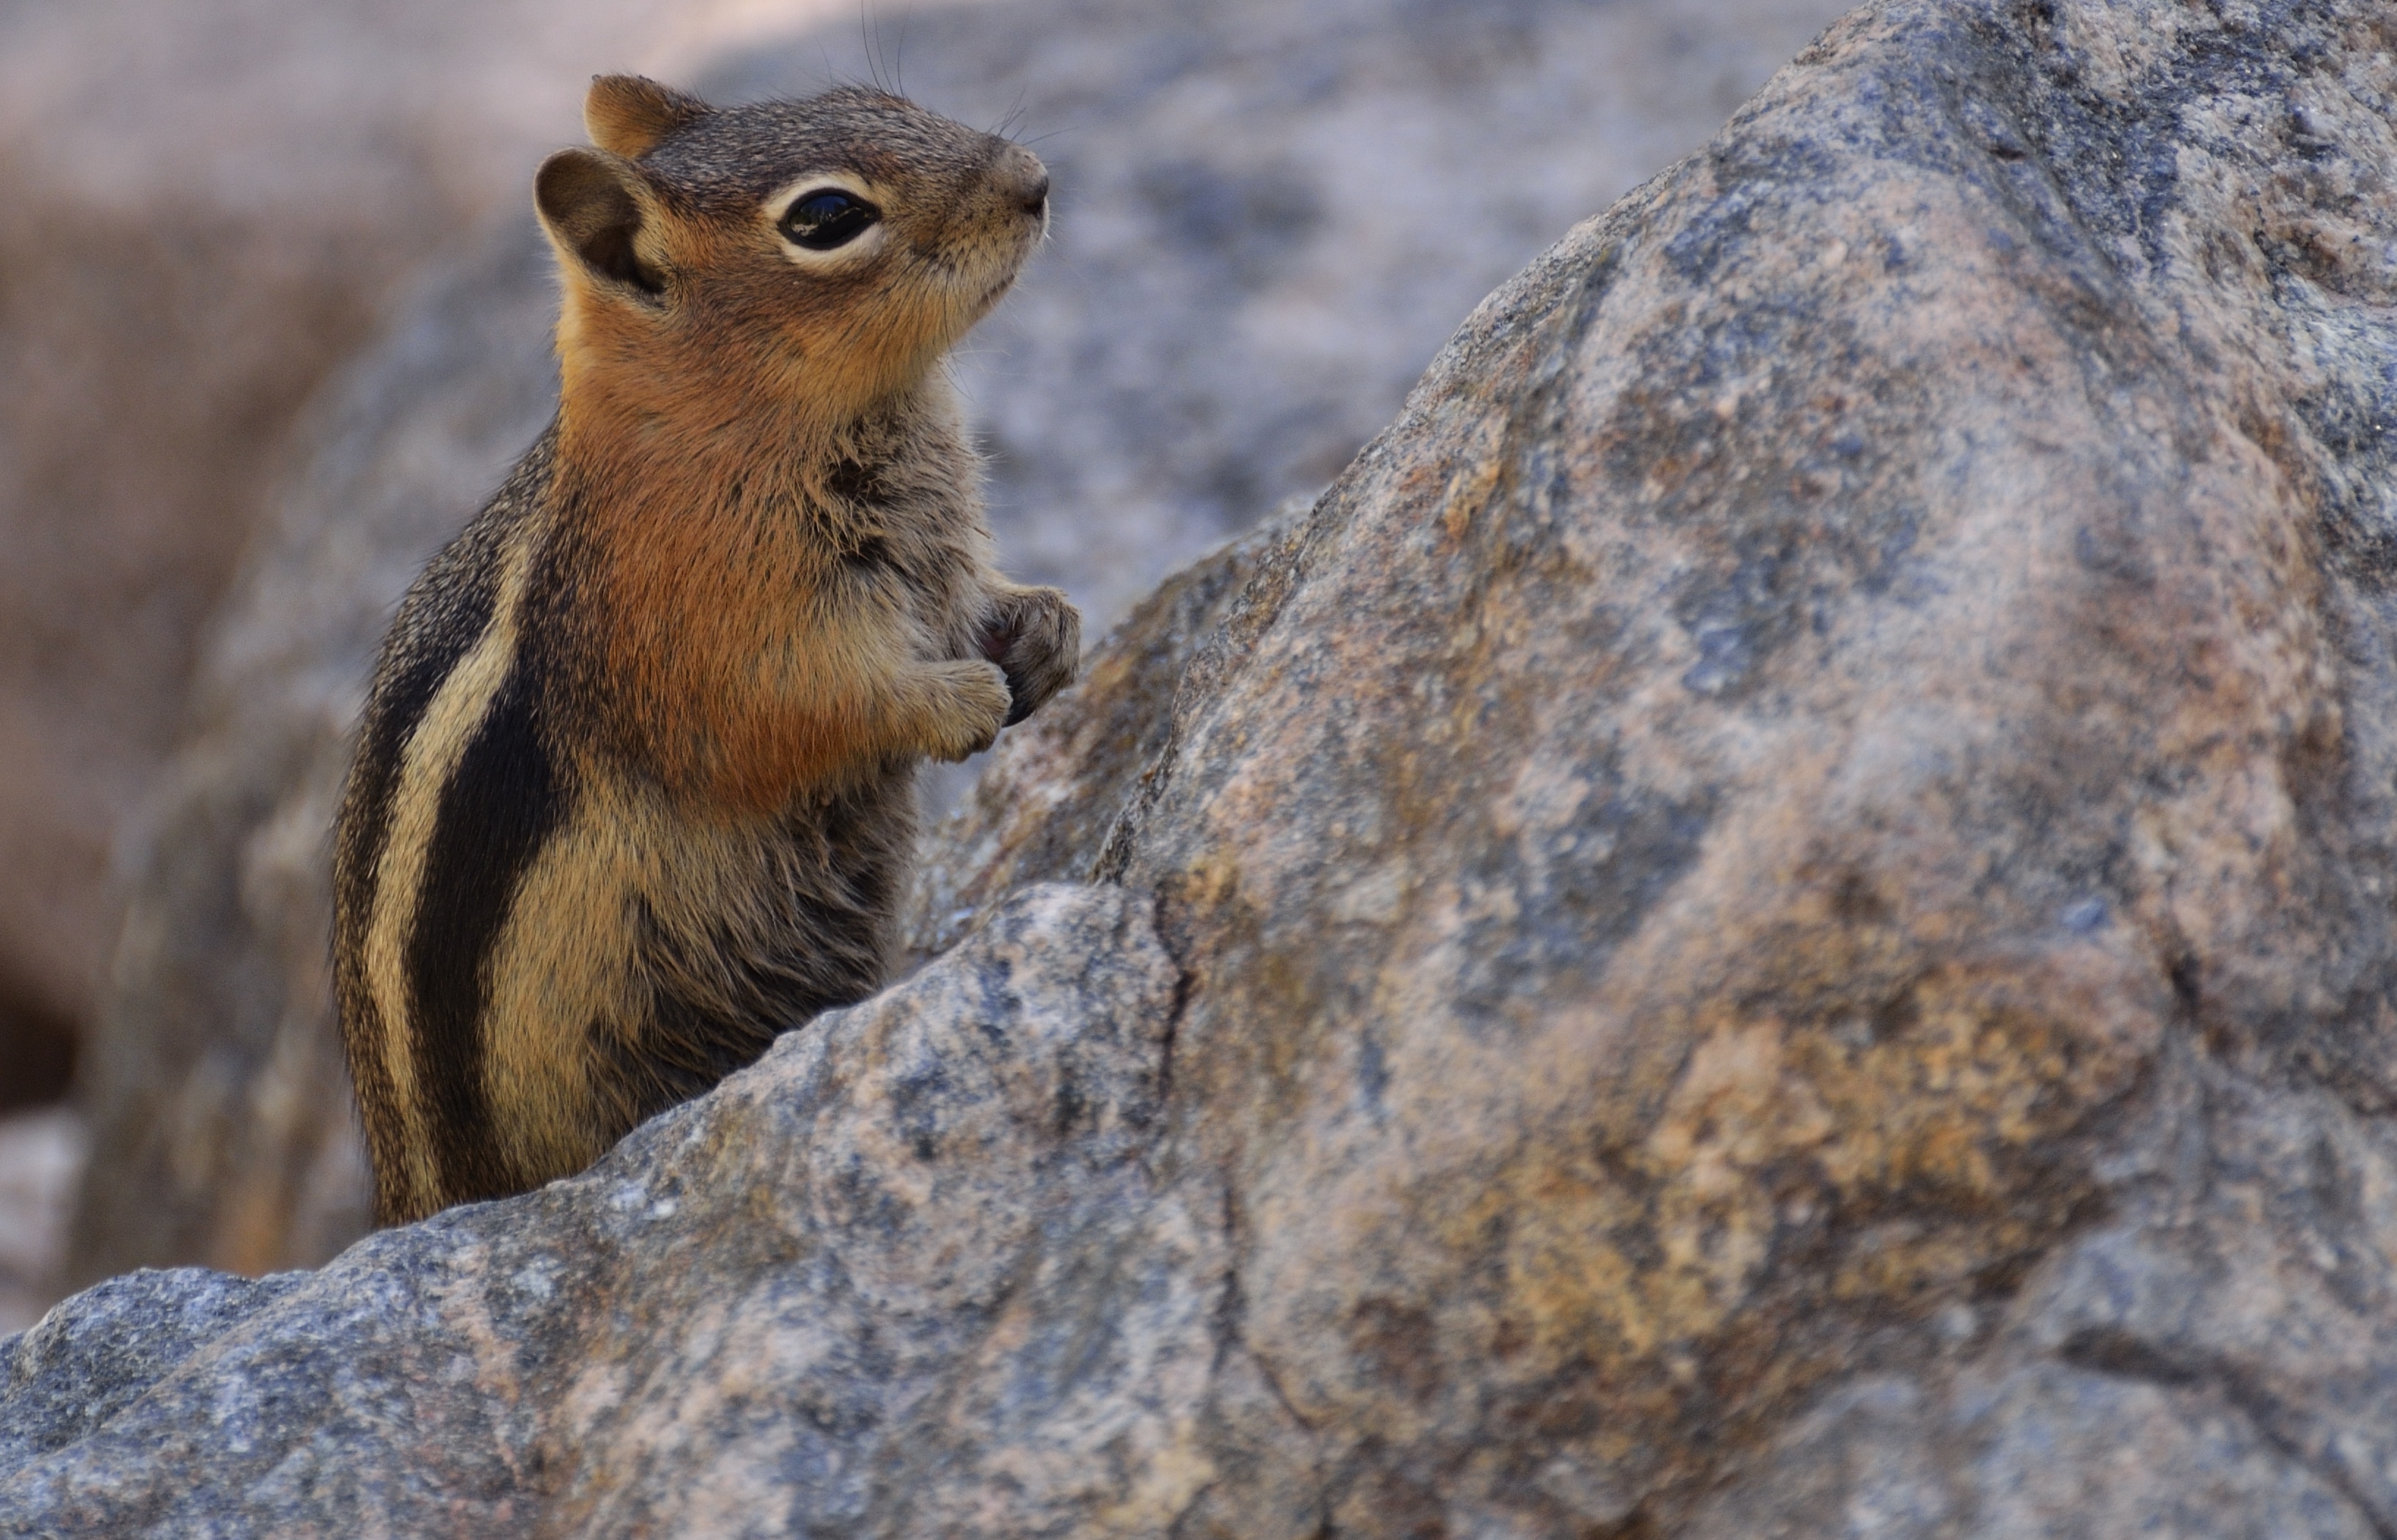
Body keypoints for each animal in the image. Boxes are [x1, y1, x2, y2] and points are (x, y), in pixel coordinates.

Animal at [333, 75, 1083, 1226]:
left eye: (879, 95)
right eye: (827, 218)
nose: (1036, 182)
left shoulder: (943, 564)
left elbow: (981, 602)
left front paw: (1047, 628)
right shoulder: (704, 638)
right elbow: (794, 714)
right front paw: (959, 701)